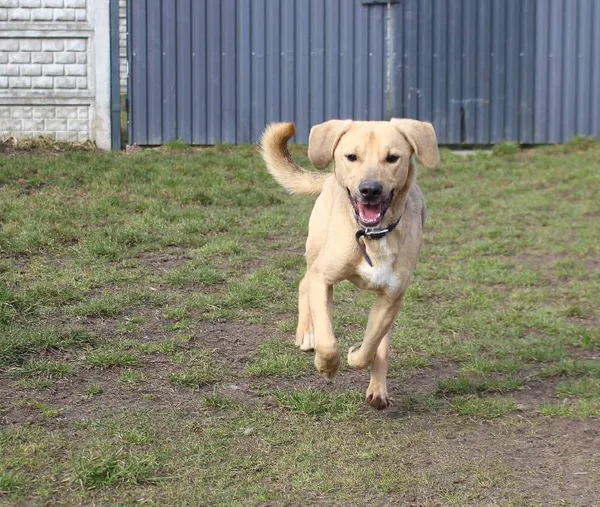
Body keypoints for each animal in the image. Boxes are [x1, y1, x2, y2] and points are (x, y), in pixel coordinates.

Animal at [260, 118, 438, 408]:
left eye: (392, 158)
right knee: (303, 283)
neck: (373, 235)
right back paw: (306, 333)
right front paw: (326, 366)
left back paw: (378, 390)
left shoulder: (391, 298)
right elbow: (328, 341)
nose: (370, 190)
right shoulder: (323, 278)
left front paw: (356, 355)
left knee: (382, 346)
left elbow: (371, 347)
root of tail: (329, 179)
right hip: (315, 251)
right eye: (352, 157)